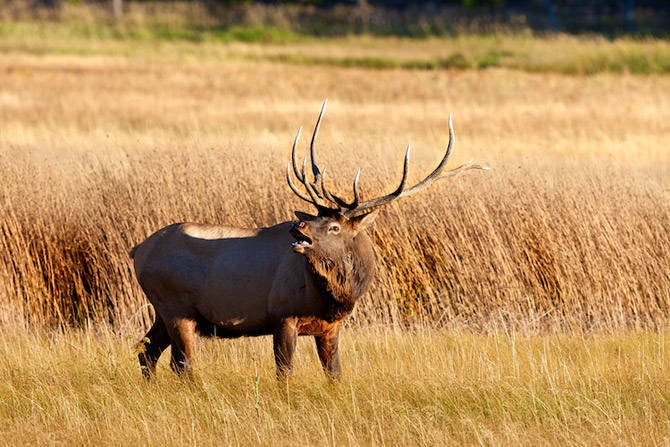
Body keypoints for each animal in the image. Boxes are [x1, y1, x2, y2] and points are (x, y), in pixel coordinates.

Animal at [130, 100, 488, 381]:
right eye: (317, 218)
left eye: (333, 227)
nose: (297, 226)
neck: (333, 297)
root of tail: (137, 251)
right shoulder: (282, 314)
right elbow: (284, 372)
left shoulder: (331, 327)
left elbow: (335, 373)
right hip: (176, 307)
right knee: (181, 364)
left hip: (164, 311)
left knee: (147, 353)